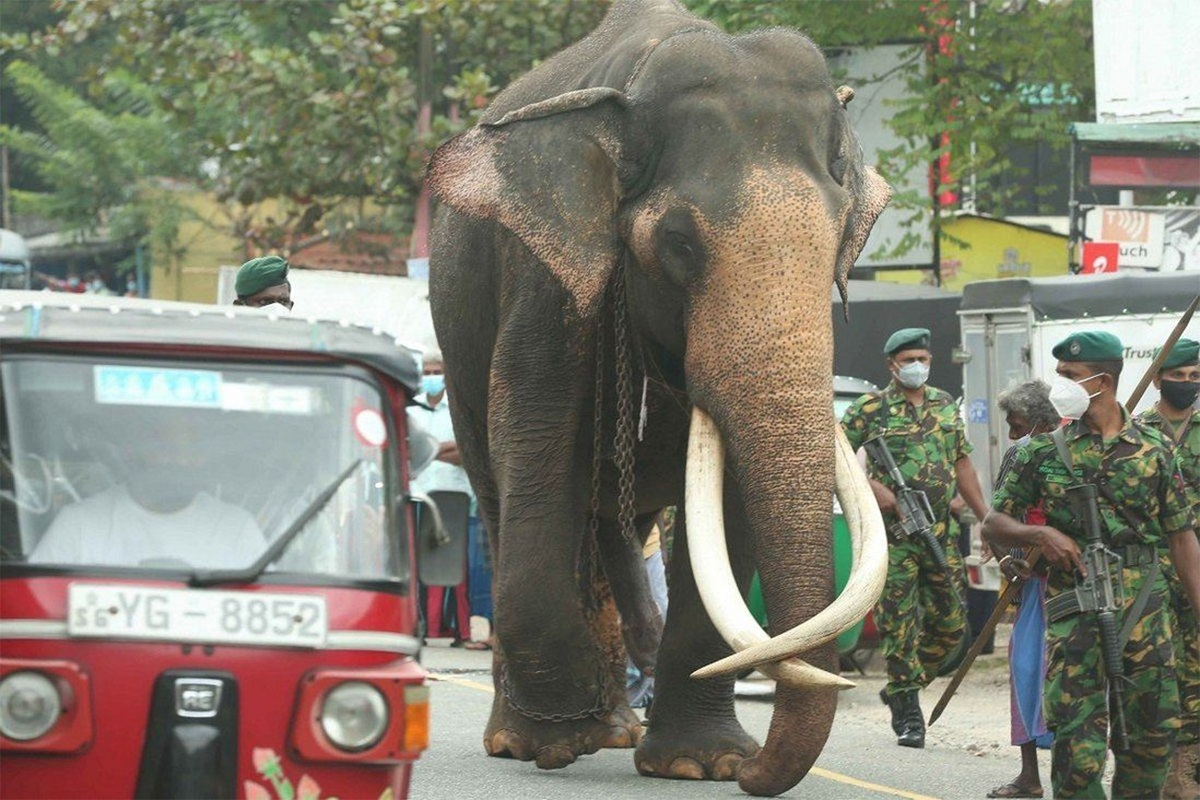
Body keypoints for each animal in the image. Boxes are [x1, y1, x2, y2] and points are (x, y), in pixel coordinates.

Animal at [429, 0, 892, 796]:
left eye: (839, 238)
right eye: (677, 241)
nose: (754, 774)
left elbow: (727, 509)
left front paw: (699, 763)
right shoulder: (547, 280)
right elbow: (538, 453)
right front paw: (561, 742)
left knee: (615, 525)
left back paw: (620, 724)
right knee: (504, 504)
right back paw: (540, 737)